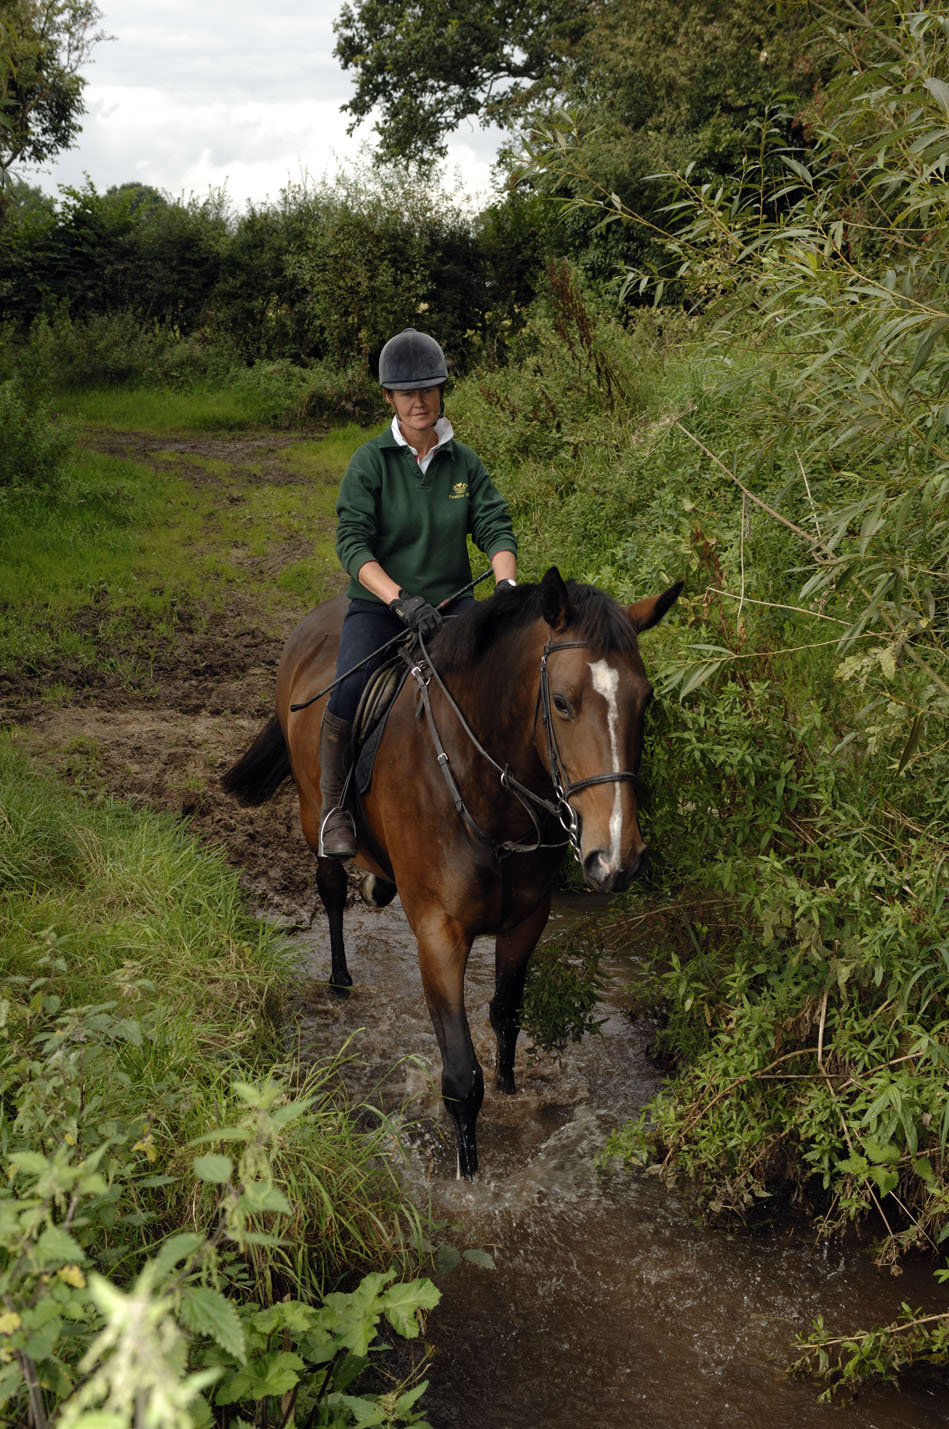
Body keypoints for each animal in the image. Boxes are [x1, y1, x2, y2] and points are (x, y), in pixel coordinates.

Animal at [222, 566, 681, 1179]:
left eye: (644, 701)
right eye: (561, 702)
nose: (617, 859)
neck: (485, 790)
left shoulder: (527, 922)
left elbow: (506, 1020)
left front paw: (512, 1096)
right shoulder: (440, 934)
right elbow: (462, 1078)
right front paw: (469, 1175)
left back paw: (377, 883)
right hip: (311, 811)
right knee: (331, 892)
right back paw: (340, 980)